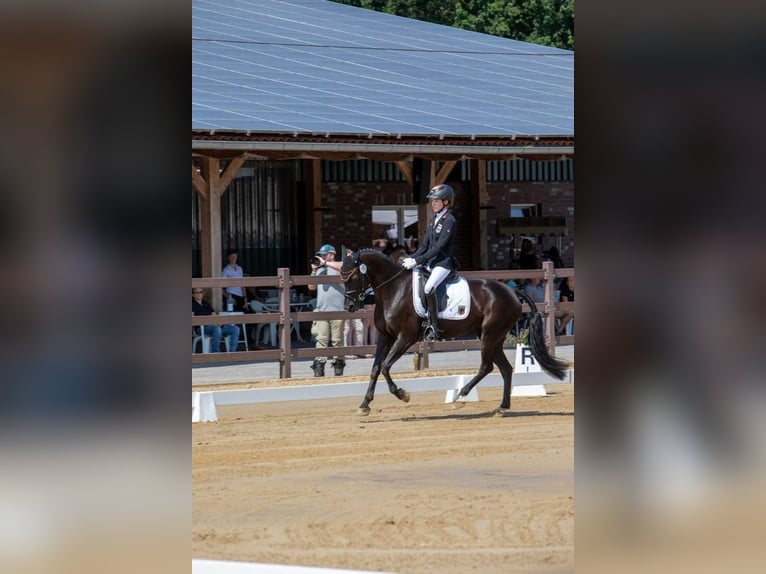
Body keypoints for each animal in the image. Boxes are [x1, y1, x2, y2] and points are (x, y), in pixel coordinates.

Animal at [342, 250, 568, 416]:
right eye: (342, 277)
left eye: (351, 276)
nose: (349, 306)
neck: (393, 288)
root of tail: (511, 291)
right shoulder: (386, 338)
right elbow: (376, 368)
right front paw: (364, 405)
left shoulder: (405, 338)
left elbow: (386, 366)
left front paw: (402, 394)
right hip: (493, 336)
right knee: (505, 368)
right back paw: (502, 407)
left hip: (490, 335)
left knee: (486, 367)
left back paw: (461, 395)